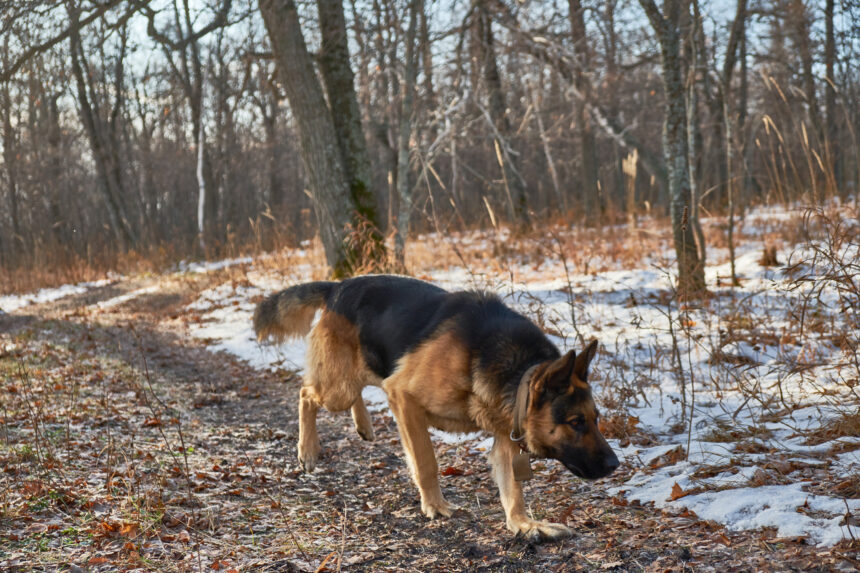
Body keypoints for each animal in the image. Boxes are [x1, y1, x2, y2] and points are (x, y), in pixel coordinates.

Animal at [254, 274, 620, 540]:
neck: (516, 369)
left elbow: (512, 490)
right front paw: (434, 505)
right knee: (306, 393)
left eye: (596, 419)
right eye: (575, 422)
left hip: (356, 375)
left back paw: (363, 425)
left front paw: (524, 524)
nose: (616, 465)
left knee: (356, 387)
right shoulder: (404, 399)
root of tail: (338, 286)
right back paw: (308, 450)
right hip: (337, 389)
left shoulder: (504, 435)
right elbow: (426, 462)